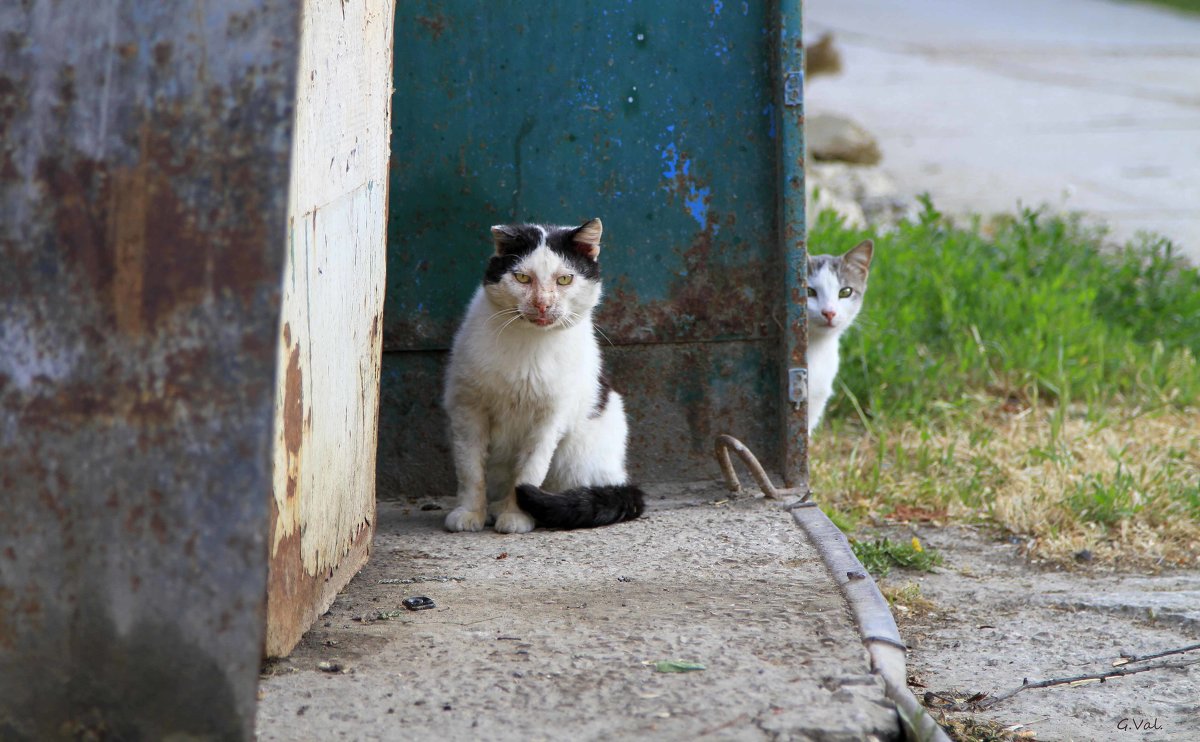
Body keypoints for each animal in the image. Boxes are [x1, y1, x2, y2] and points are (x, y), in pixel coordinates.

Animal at [444, 214, 648, 530]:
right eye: (522, 278)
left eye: (564, 279)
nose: (542, 304)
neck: (530, 344)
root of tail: (620, 476)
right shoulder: (467, 409)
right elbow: (470, 469)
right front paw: (469, 512)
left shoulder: (549, 419)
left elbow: (530, 470)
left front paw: (516, 516)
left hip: (580, 455)